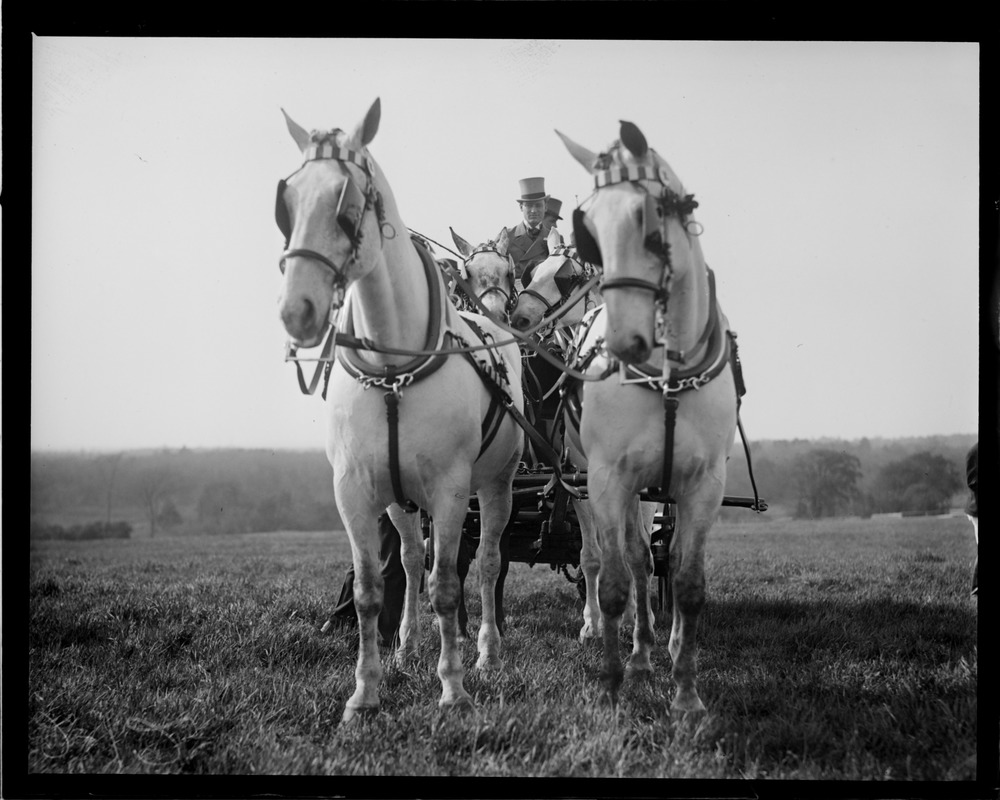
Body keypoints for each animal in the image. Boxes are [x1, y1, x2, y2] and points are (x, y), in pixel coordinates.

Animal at [274, 98, 524, 720]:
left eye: (348, 204)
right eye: (288, 203)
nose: (297, 310)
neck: (393, 370)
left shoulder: (452, 489)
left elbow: (449, 585)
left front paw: (453, 687)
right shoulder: (355, 490)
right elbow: (372, 589)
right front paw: (365, 691)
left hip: (499, 484)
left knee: (488, 561)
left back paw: (487, 651)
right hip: (401, 501)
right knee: (411, 560)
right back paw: (408, 645)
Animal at [560, 120, 740, 712]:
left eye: (648, 217)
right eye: (589, 227)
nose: (622, 342)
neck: (667, 374)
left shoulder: (705, 482)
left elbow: (688, 580)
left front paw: (686, 691)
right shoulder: (607, 478)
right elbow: (618, 581)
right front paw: (616, 684)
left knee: (669, 556)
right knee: (630, 558)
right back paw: (636, 652)